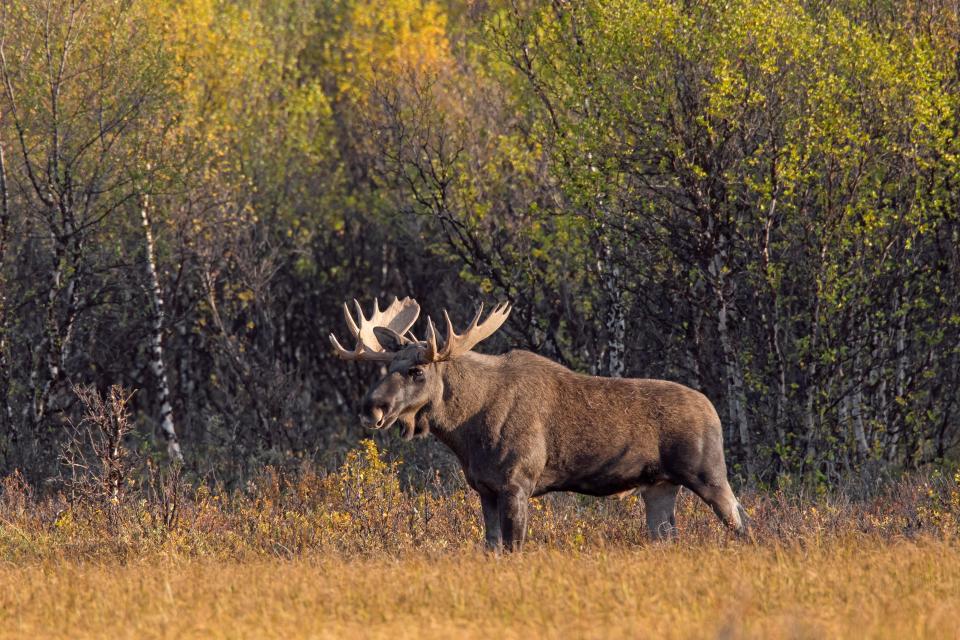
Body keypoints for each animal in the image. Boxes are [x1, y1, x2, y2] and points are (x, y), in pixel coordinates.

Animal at [330, 296, 752, 552]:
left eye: (416, 371)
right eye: (388, 366)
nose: (372, 408)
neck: (467, 433)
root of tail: (714, 412)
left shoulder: (518, 481)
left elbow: (514, 549)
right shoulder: (485, 488)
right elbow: (491, 547)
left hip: (707, 472)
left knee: (741, 520)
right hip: (660, 486)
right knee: (669, 535)